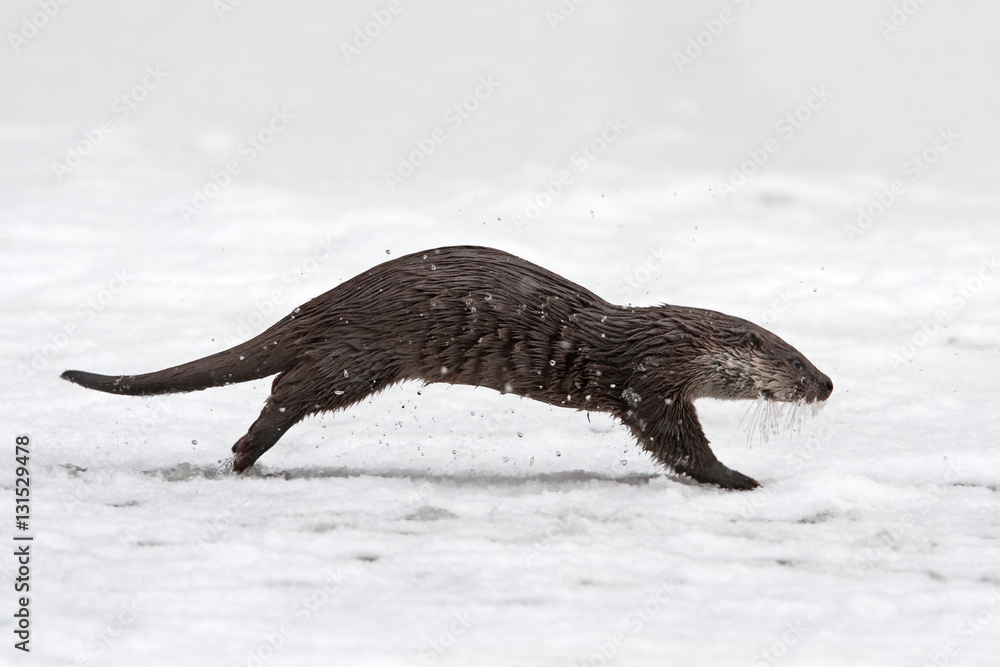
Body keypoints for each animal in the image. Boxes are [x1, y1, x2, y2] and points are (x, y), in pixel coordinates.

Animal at [61, 245, 832, 490]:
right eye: (796, 360)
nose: (828, 384)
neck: (663, 339)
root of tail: (328, 300)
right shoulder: (649, 385)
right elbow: (680, 445)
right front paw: (739, 478)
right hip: (360, 354)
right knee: (288, 387)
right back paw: (246, 453)